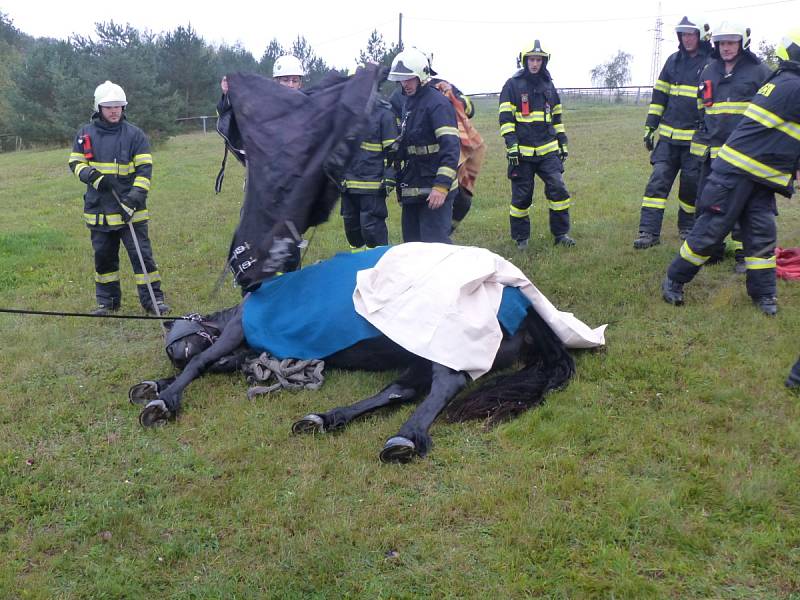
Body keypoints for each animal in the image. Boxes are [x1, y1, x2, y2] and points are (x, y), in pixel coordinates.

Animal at [130, 244, 608, 464]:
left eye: (178, 340)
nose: (171, 355)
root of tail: (523, 301)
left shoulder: (234, 334)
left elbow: (202, 362)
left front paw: (165, 399)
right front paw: (155, 385)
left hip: (444, 341)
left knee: (446, 381)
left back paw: (405, 438)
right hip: (418, 354)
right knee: (402, 389)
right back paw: (327, 418)